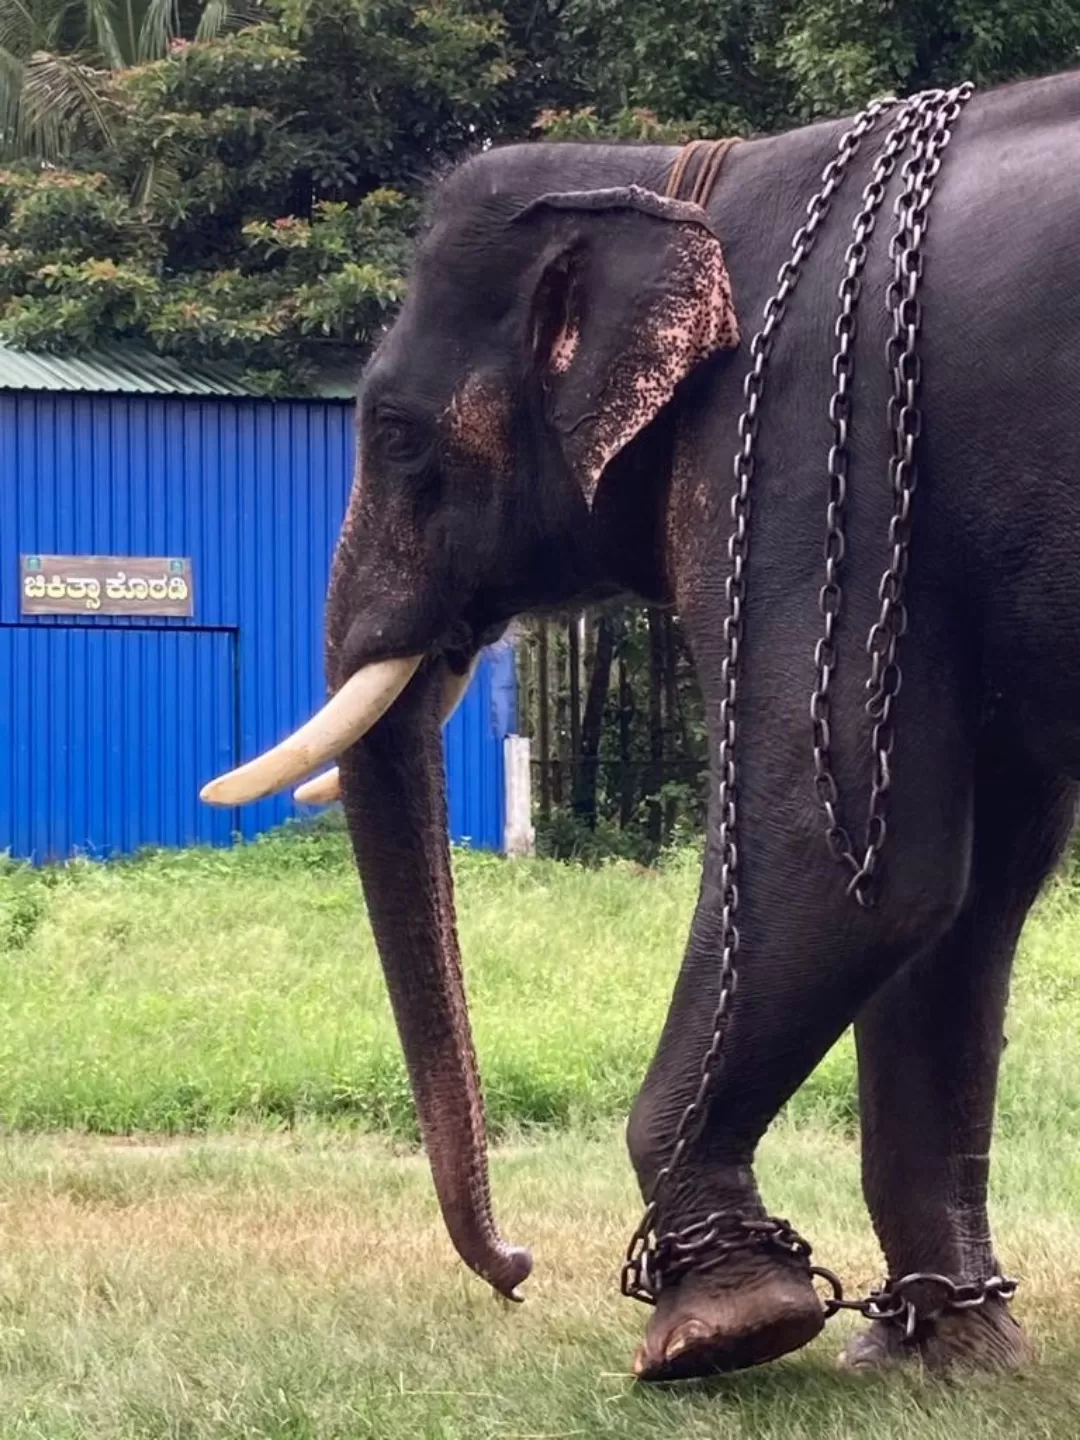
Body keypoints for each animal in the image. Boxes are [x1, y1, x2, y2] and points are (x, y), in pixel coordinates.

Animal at [201, 67, 1080, 1382]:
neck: (673, 176)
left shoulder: (813, 453)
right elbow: (958, 903)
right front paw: (942, 1358)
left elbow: (841, 865)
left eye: (398, 433)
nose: (515, 1271)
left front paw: (716, 1331)